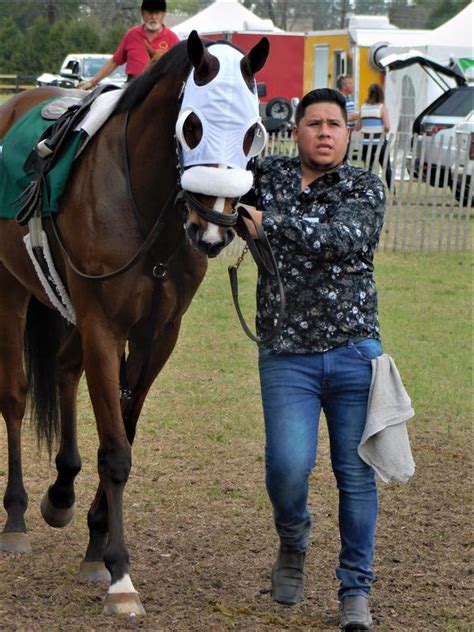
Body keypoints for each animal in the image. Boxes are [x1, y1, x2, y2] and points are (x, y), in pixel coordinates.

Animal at [0, 32, 268, 616]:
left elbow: (125, 429)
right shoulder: (104, 326)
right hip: (11, 288)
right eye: (192, 126)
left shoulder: (156, 335)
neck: (147, 212)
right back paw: (16, 516)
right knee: (15, 395)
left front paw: (97, 543)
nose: (212, 230)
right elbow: (116, 449)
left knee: (64, 369)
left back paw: (61, 493)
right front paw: (121, 573)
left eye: (252, 133)